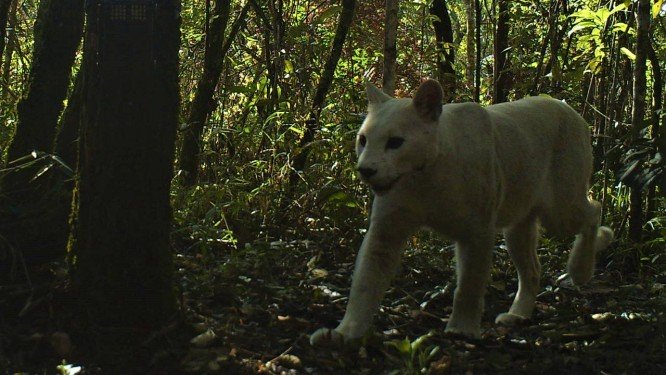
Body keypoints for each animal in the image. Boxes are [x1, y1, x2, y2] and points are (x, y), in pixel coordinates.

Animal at [310, 79, 612, 346]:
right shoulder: (386, 230)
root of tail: (567, 108)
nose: (365, 169)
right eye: (363, 139)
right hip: (519, 224)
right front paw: (344, 333)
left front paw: (462, 329)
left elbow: (470, 283)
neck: (424, 177)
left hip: (560, 206)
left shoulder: (476, 231)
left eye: (395, 142)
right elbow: (364, 282)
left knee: (594, 212)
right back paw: (517, 314)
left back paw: (581, 269)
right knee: (532, 267)